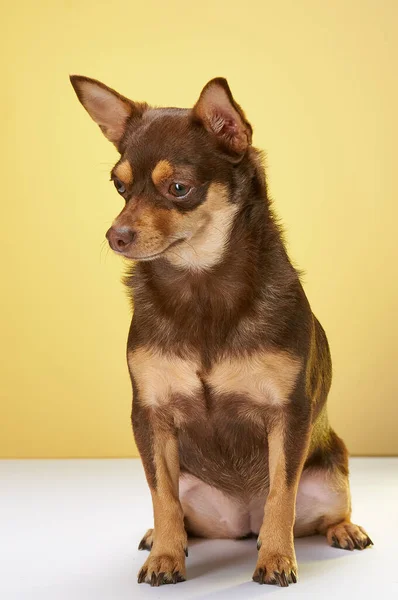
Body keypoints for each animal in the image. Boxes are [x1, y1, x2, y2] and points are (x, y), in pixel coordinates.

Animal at [70, 75, 372, 584]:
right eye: (119, 186)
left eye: (179, 188)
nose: (116, 235)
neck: (201, 285)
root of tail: (243, 521)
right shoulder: (151, 417)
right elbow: (162, 496)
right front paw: (165, 556)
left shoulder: (288, 416)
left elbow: (281, 495)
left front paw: (277, 558)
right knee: (179, 512)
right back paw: (165, 539)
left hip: (331, 476)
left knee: (320, 510)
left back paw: (342, 529)